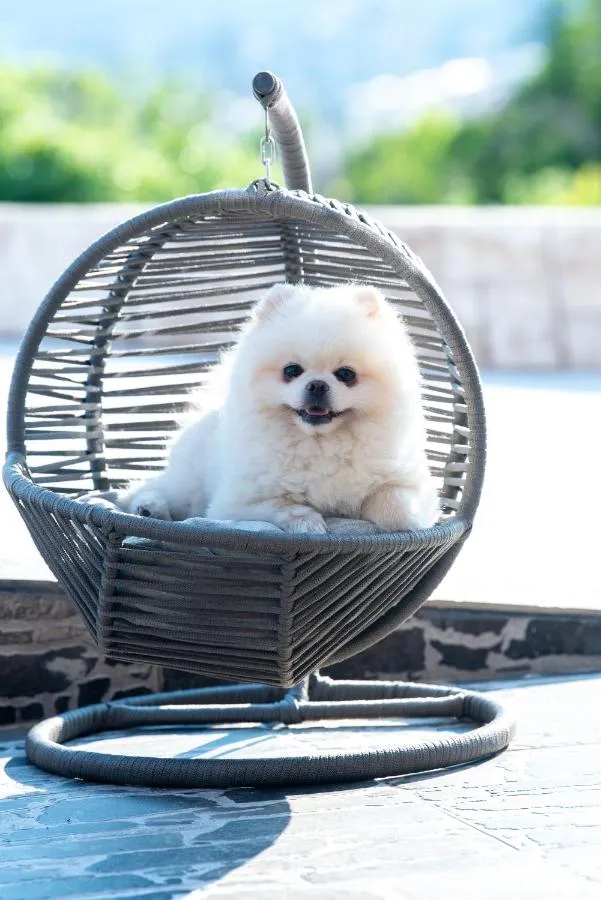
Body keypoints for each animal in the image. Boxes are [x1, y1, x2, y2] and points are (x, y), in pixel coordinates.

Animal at [122, 282, 439, 533]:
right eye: (291, 371)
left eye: (346, 374)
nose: (317, 385)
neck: (321, 443)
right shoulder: (236, 503)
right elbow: (283, 506)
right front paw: (308, 523)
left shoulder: (406, 481)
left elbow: (395, 505)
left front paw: (411, 519)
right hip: (190, 483)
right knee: (151, 488)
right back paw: (148, 506)